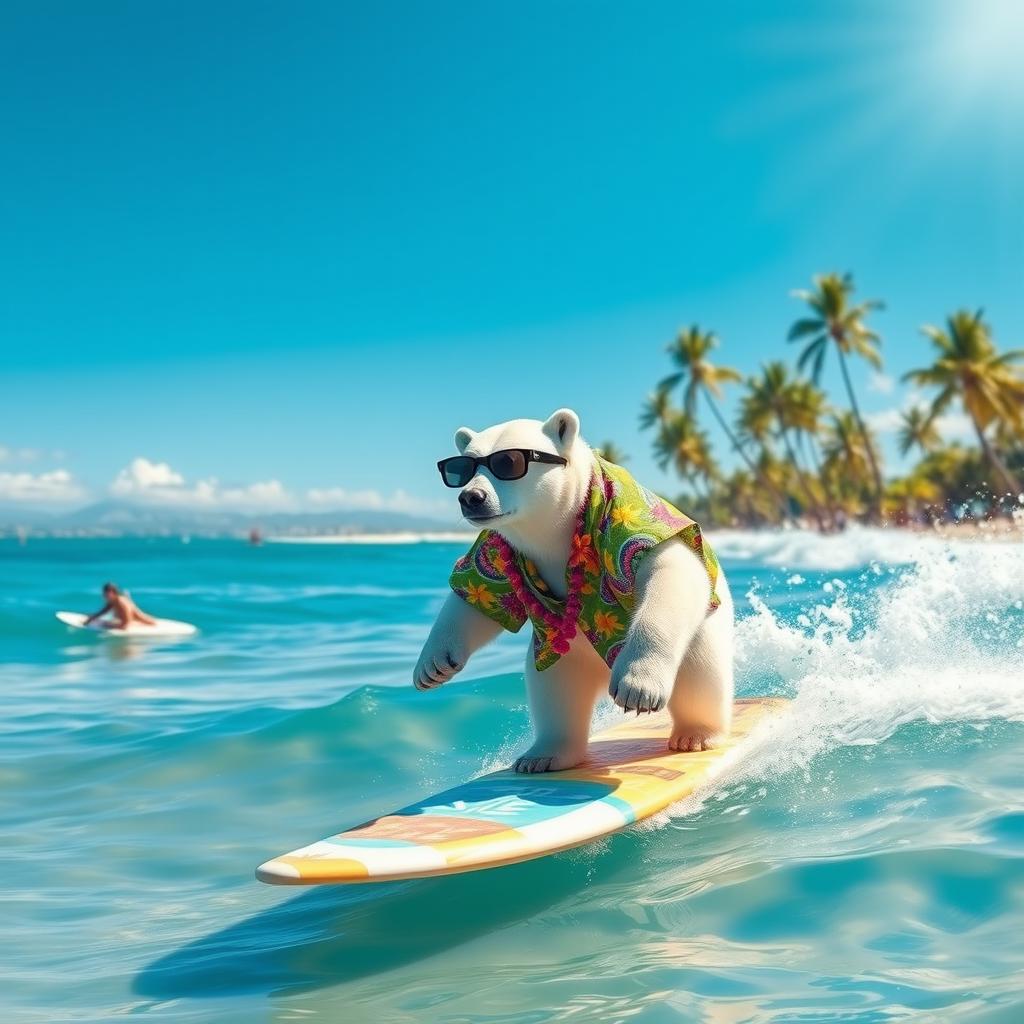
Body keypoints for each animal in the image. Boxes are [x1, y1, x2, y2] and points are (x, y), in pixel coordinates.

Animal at [412, 408, 735, 774]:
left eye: (507, 462)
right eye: (462, 468)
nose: (471, 497)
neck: (557, 528)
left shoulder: (623, 515)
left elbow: (669, 569)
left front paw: (638, 686)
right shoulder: (500, 544)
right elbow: (478, 598)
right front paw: (432, 666)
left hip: (702, 630)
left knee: (699, 677)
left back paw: (697, 735)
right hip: (566, 656)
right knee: (555, 694)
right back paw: (544, 755)